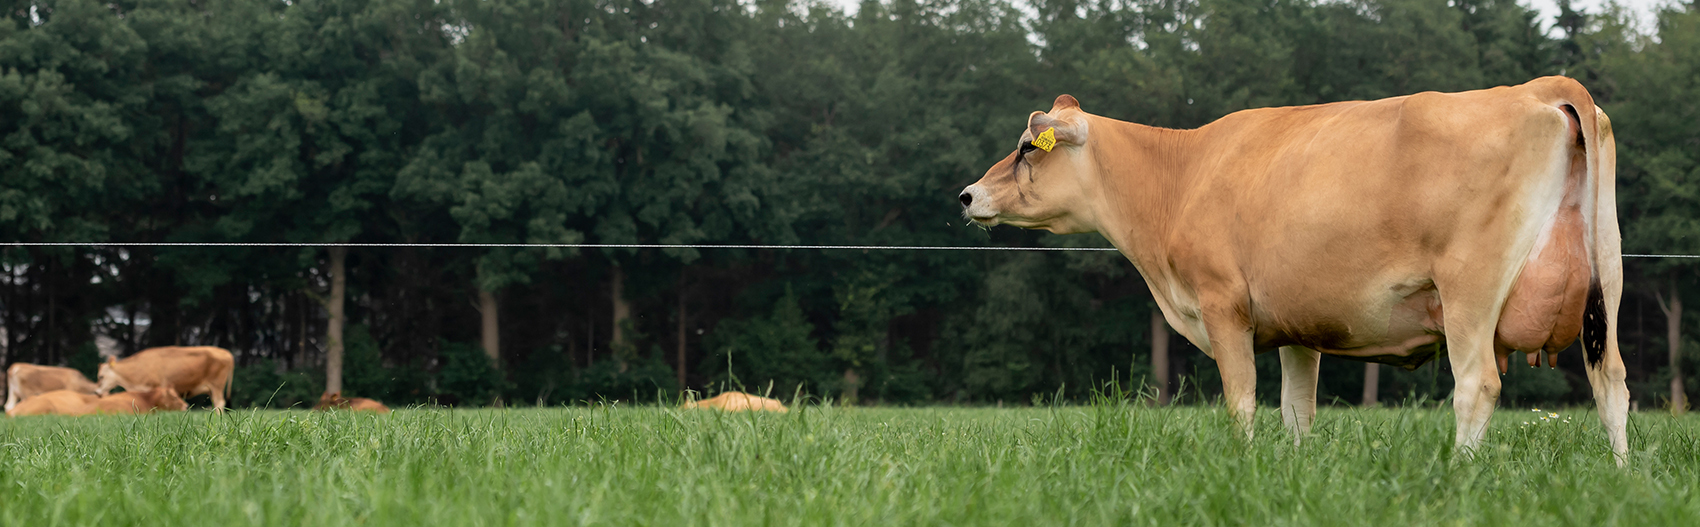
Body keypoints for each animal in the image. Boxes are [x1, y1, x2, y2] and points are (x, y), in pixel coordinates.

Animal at [95, 345, 234, 411]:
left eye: (101, 376)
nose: (96, 393)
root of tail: (227, 353)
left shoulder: (156, 387)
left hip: (217, 386)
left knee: (219, 403)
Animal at [958, 76, 1632, 462]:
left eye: (1026, 148)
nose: (966, 195)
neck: (1181, 175)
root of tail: (1536, 87)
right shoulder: (1296, 328)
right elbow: (1297, 412)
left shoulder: (1224, 306)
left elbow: (1242, 404)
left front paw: (1245, 466)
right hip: (1608, 276)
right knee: (1612, 383)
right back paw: (1621, 475)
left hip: (1470, 287)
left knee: (1478, 386)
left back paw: (1459, 475)